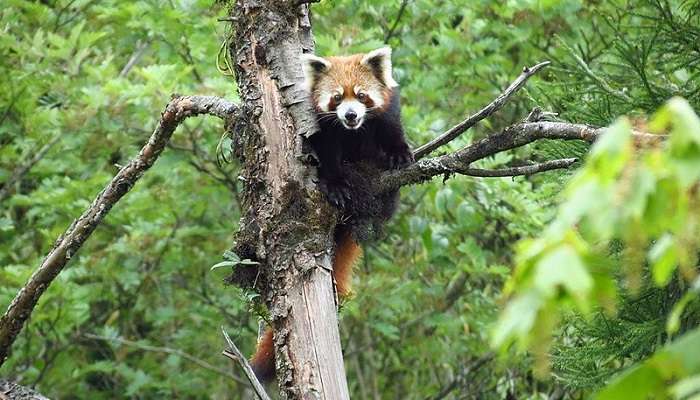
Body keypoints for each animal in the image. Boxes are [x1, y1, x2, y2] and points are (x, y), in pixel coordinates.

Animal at [249, 45, 410, 382]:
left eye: (361, 95)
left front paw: (399, 153)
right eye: (337, 98)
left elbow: (392, 131)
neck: (353, 132)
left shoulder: (387, 113)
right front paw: (335, 184)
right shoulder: (323, 130)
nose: (350, 115)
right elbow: (327, 157)